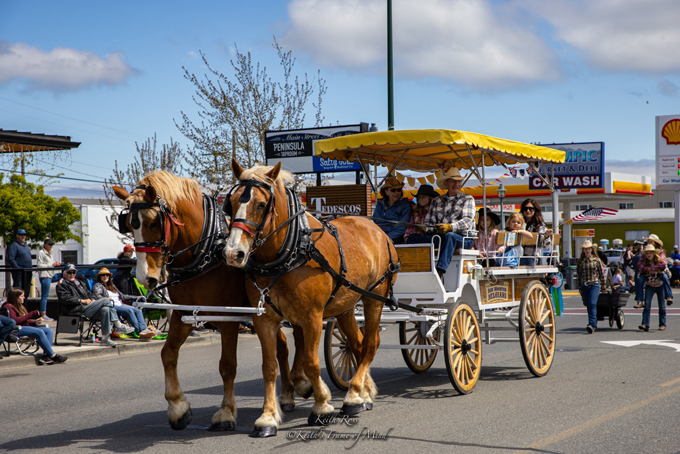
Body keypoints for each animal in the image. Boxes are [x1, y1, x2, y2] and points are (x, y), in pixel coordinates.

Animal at [113, 172, 308, 434]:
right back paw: (286, 396)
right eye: (129, 224)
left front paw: (226, 414)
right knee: (283, 348)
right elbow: (168, 354)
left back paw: (301, 384)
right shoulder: (182, 316)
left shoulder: (228, 320)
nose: (146, 277)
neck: (205, 253)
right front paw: (178, 408)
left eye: (154, 223)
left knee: (299, 337)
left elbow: (227, 366)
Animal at [223, 159, 398, 436]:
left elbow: (311, 363)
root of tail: (377, 229)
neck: (291, 251)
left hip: (375, 298)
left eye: (261, 204)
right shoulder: (264, 320)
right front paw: (267, 417)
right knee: (357, 345)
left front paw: (321, 406)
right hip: (346, 305)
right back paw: (362, 393)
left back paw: (352, 396)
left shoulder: (312, 317)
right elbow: (269, 367)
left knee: (371, 344)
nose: (233, 253)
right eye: (230, 203)